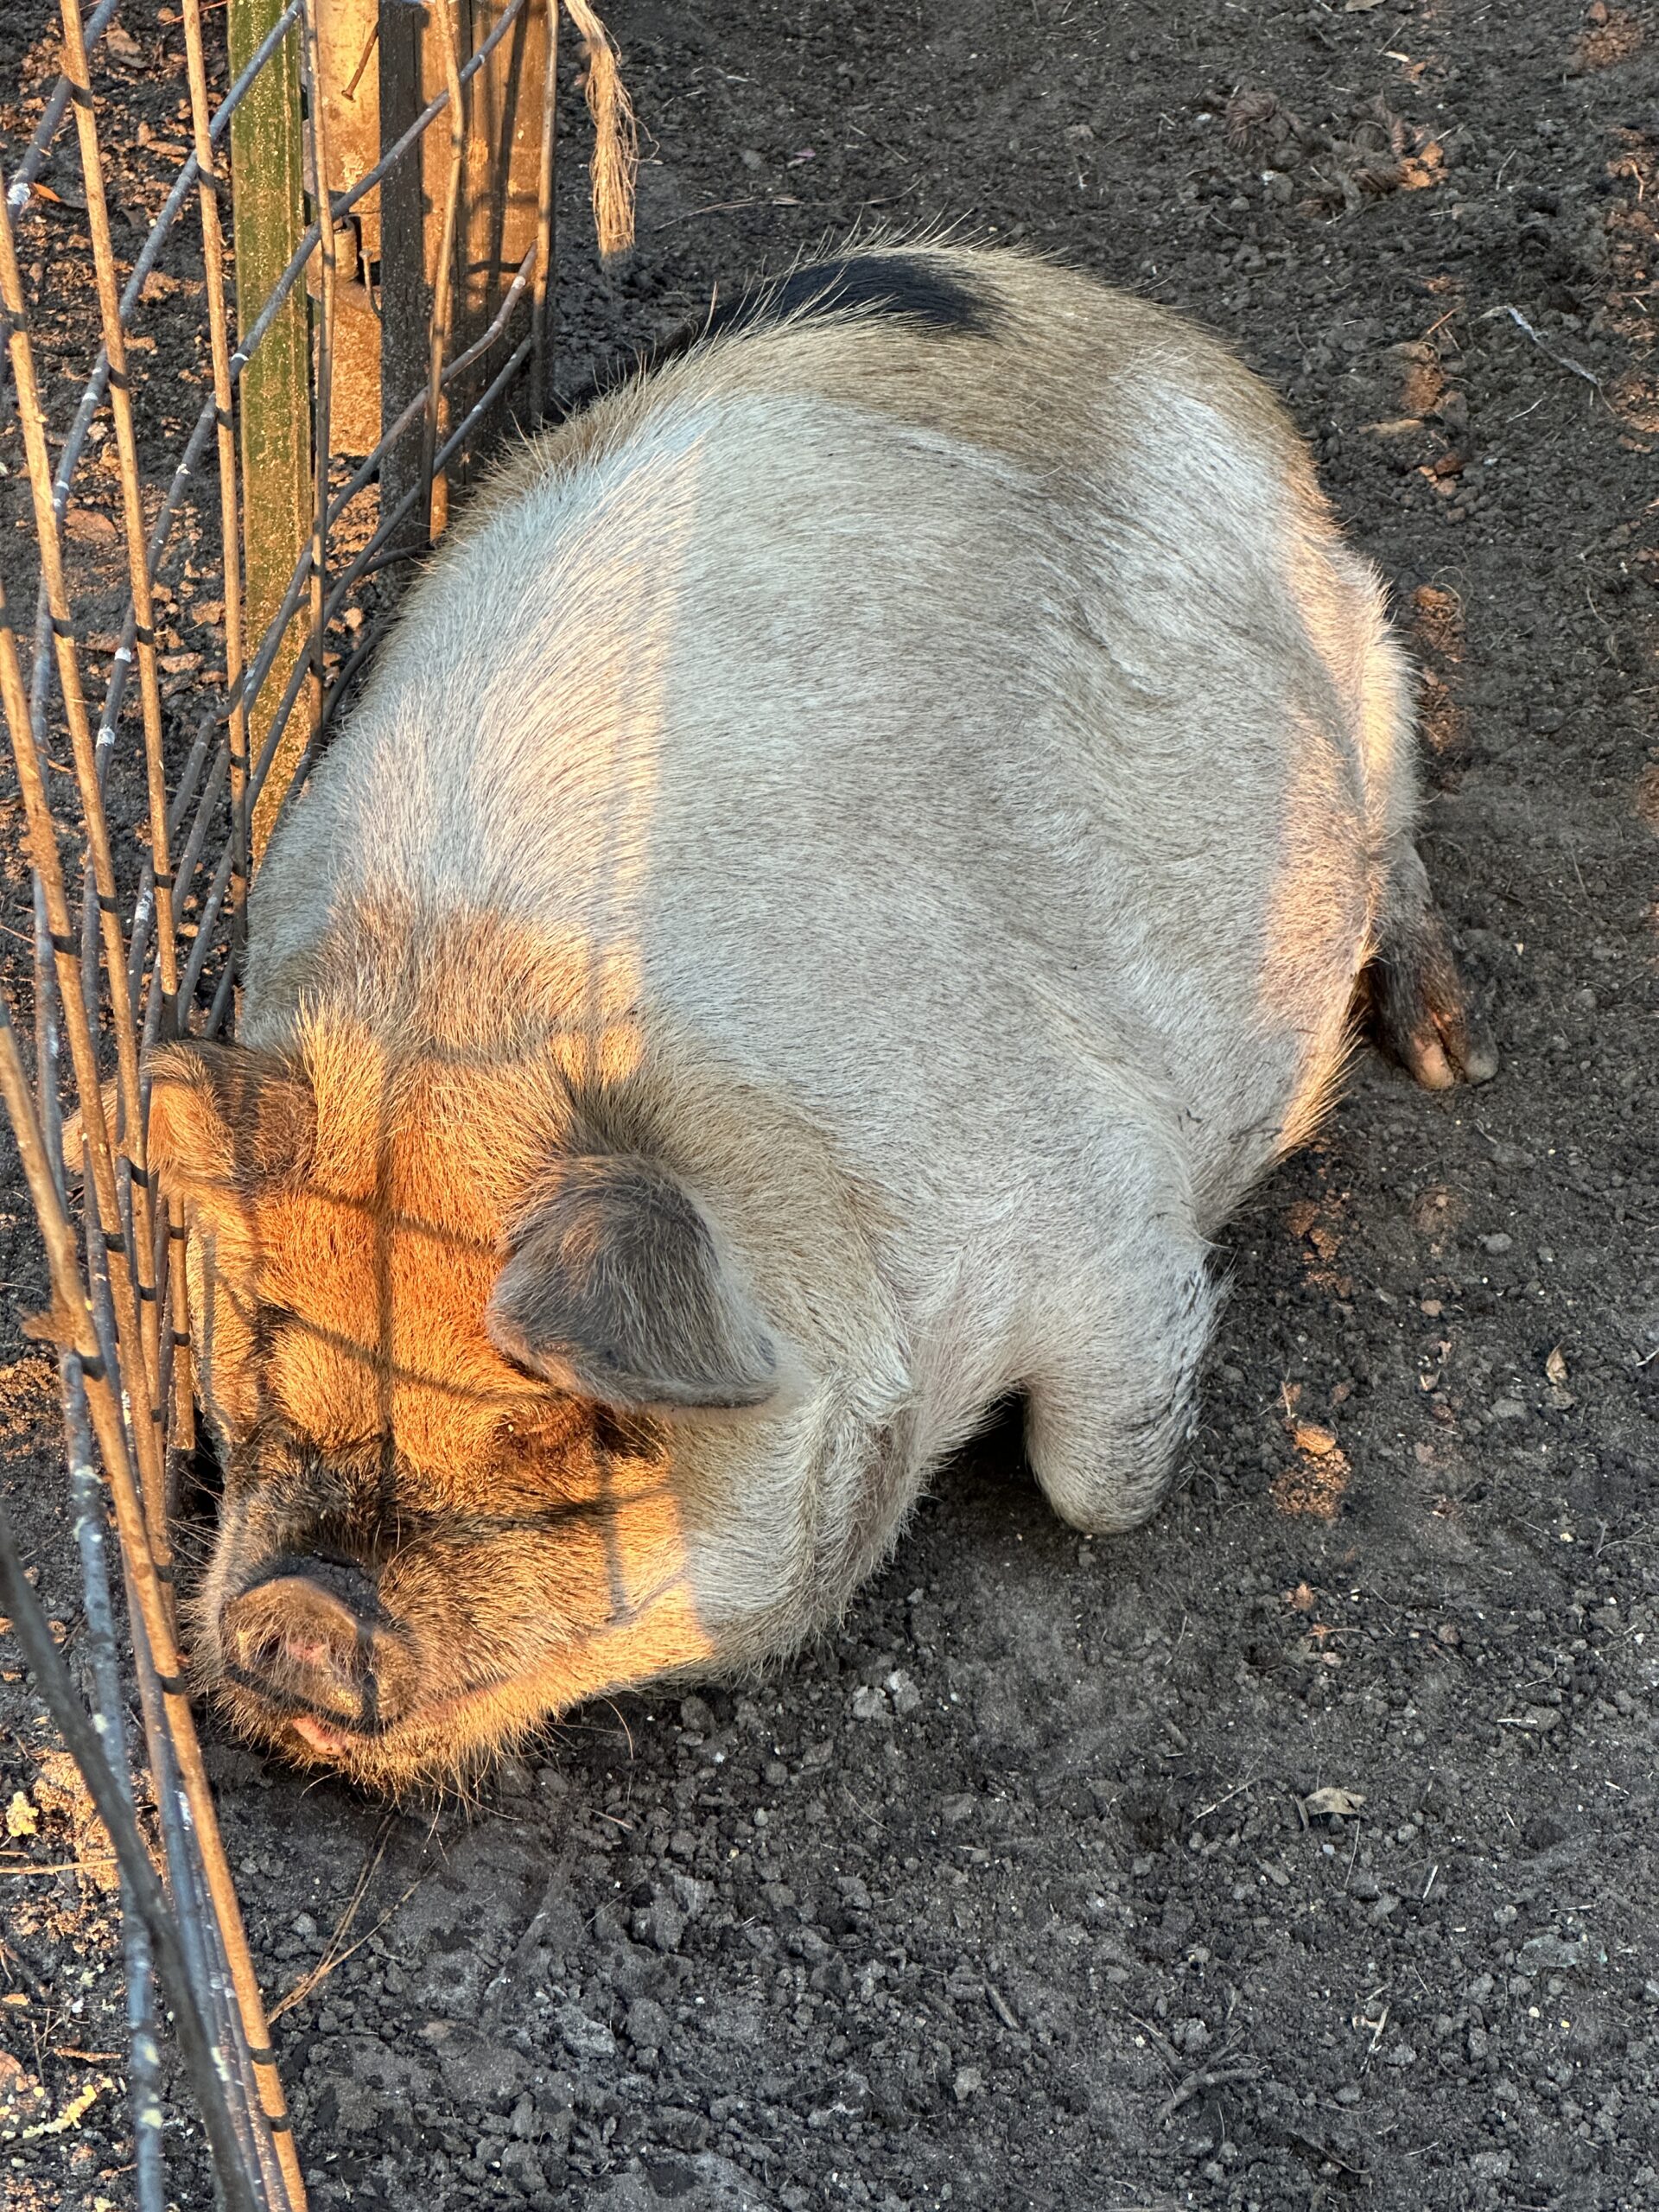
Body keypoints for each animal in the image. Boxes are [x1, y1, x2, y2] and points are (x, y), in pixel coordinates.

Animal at [143, 246, 1503, 1796]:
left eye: (563, 1425)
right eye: (260, 1363)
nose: (302, 1610)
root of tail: (1093, 302)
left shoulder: (1102, 1215)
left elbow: (1096, 1482)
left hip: (1370, 656)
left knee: (1395, 830)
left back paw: (1456, 1054)